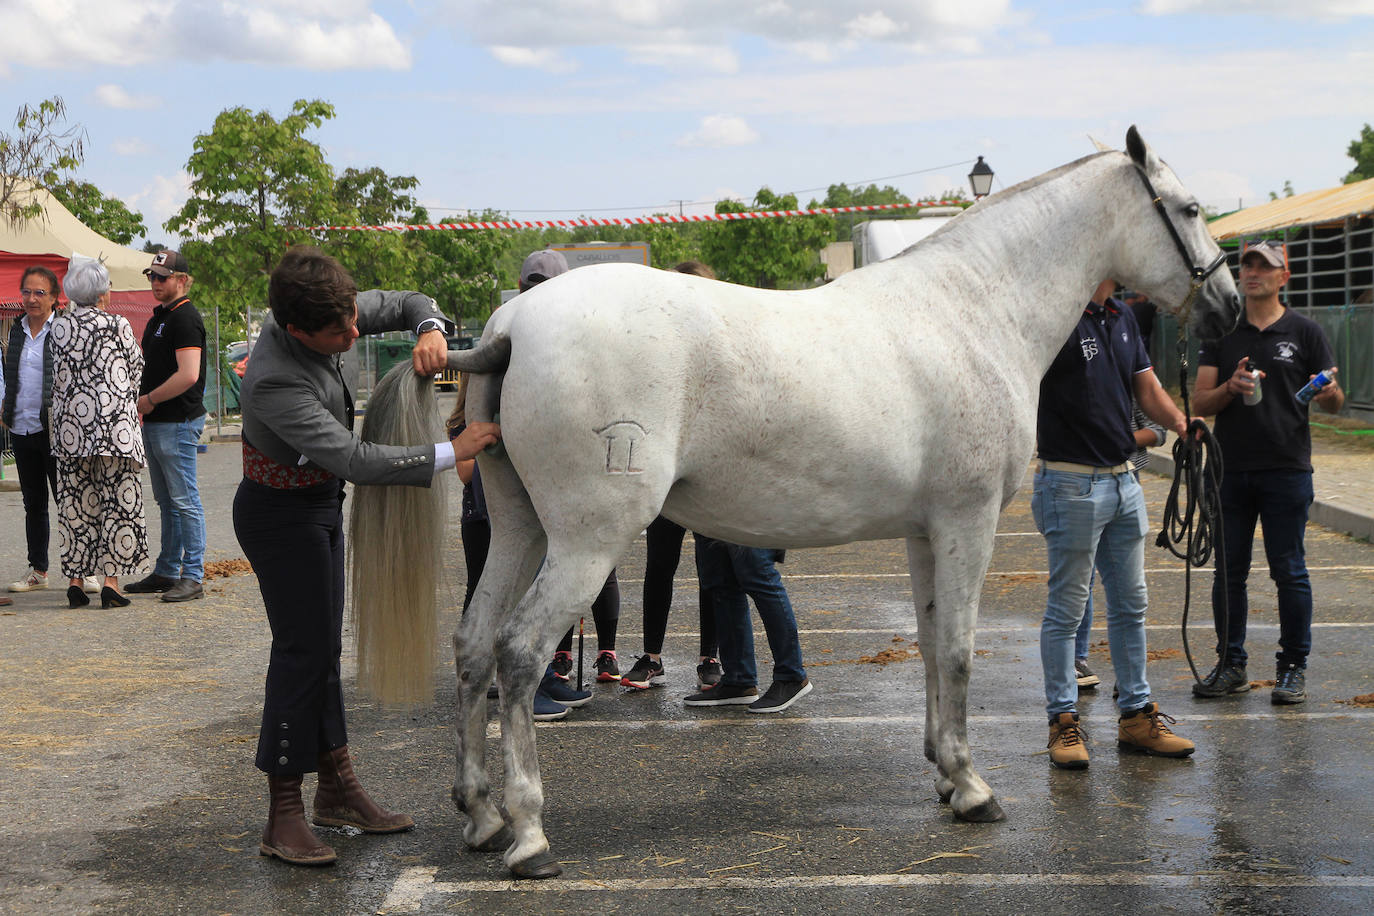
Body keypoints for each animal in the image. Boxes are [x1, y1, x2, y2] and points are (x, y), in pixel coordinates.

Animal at [442, 129, 1247, 878]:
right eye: (1189, 210)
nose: (1230, 306)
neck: (975, 311)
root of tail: (510, 326)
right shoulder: (968, 521)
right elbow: (959, 651)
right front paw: (975, 789)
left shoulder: (927, 533)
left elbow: (932, 644)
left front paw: (947, 775)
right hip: (587, 541)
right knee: (518, 654)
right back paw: (530, 836)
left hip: (521, 531)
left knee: (475, 643)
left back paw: (481, 816)